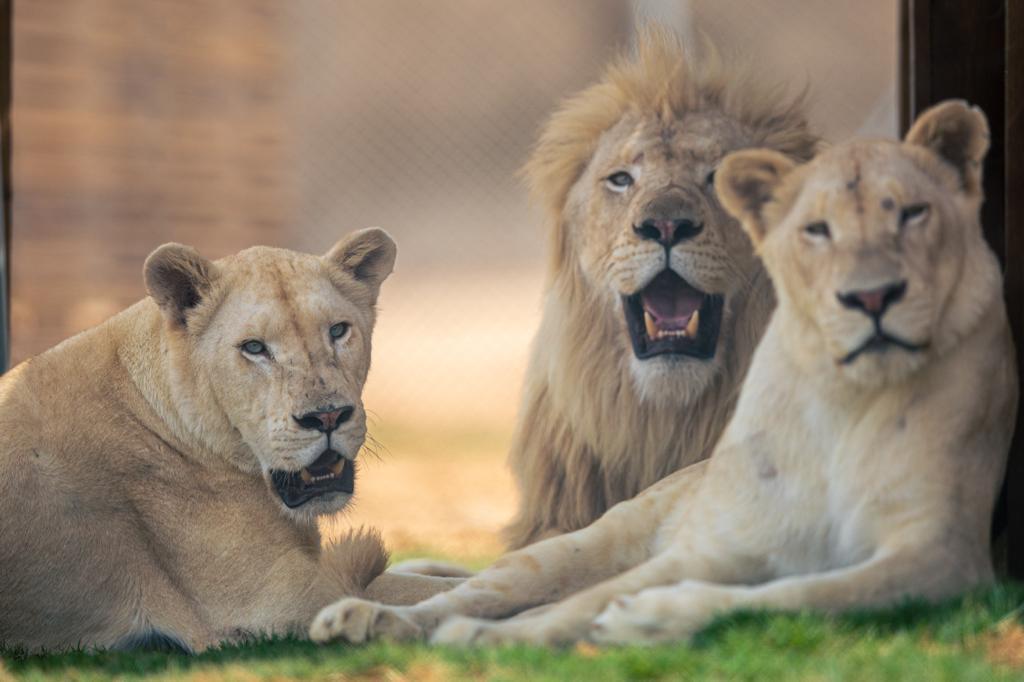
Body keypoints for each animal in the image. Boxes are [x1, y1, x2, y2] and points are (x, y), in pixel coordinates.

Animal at [305, 99, 1015, 643]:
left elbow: (804, 595)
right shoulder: (717, 546)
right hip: (579, 546)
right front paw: (500, 637)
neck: (843, 395)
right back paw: (367, 618)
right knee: (477, 591)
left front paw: (649, 618)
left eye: (913, 213)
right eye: (817, 230)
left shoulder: (937, 557)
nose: (871, 298)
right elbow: (577, 605)